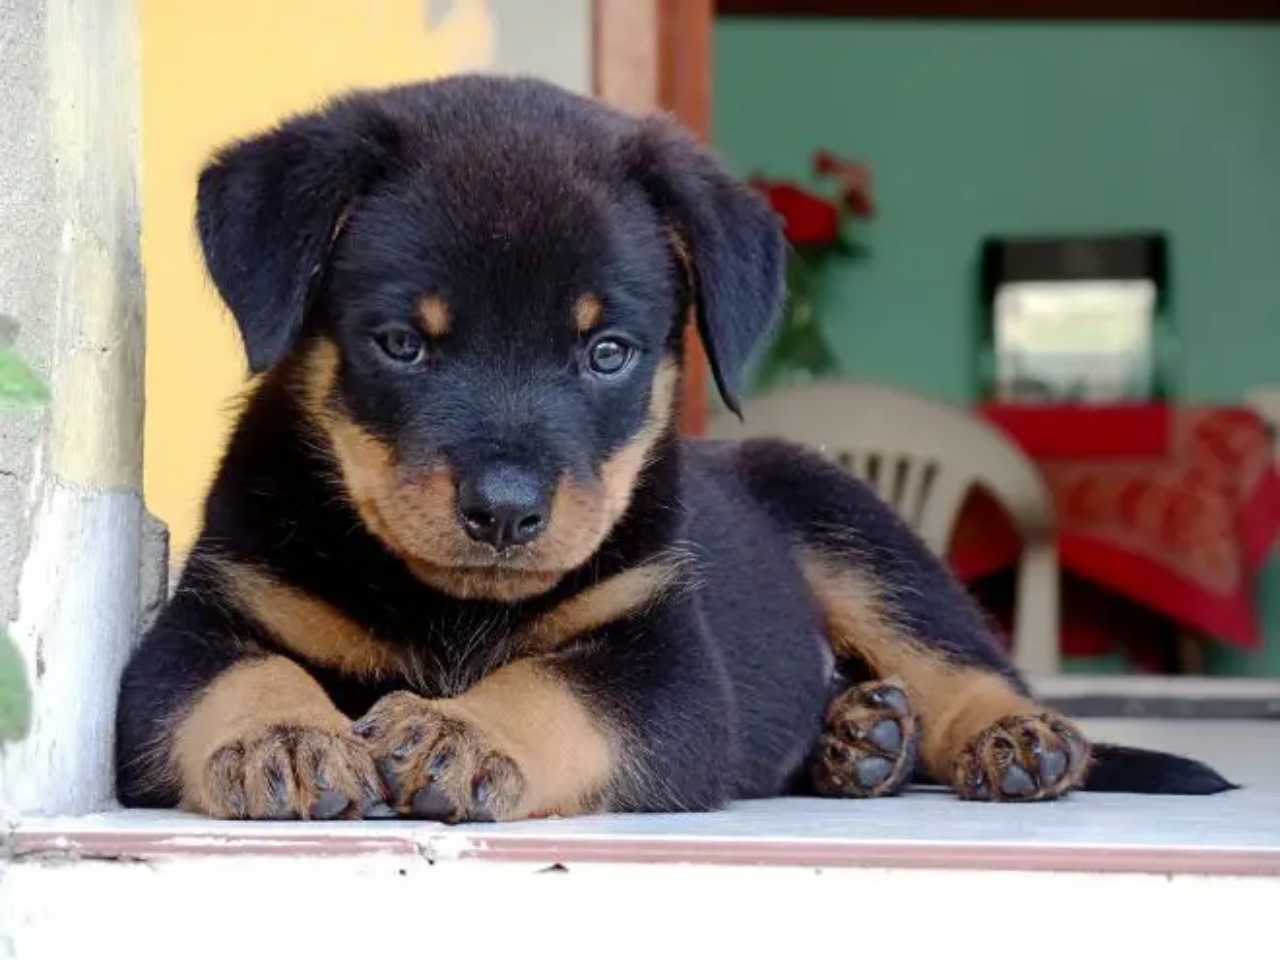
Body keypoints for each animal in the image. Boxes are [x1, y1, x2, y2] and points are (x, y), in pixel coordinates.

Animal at [115, 77, 1233, 829]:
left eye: (607, 351)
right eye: (401, 342)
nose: (505, 510)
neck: (448, 606)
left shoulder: (661, 664)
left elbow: (554, 687)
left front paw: (460, 731)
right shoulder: (198, 627)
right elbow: (237, 675)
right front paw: (282, 736)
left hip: (847, 521)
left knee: (955, 653)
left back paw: (1006, 737)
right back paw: (859, 739)